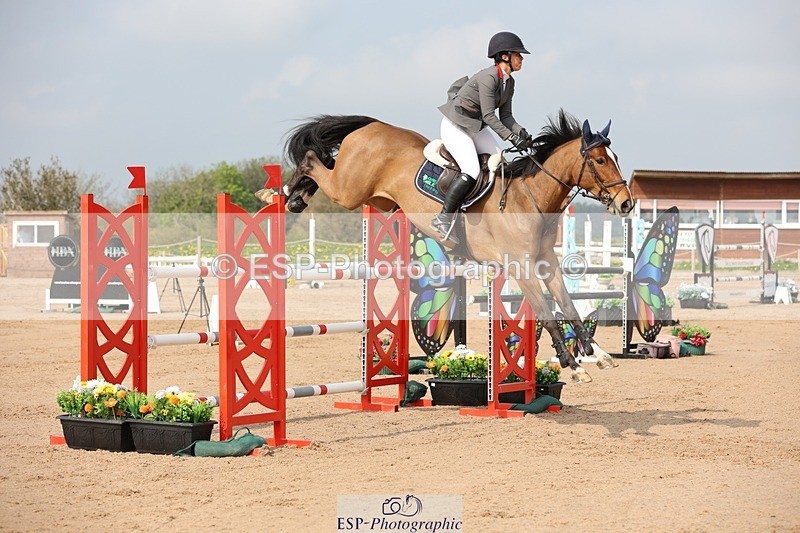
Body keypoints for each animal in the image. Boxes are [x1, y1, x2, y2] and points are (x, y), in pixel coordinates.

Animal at [281, 110, 636, 383]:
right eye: (600, 161)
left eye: (616, 158)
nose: (627, 204)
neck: (530, 198)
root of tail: (372, 126)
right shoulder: (522, 269)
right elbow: (548, 315)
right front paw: (573, 366)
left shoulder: (545, 262)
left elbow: (570, 307)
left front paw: (598, 355)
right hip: (349, 192)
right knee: (313, 160)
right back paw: (289, 194)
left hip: (376, 200)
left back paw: (299, 193)